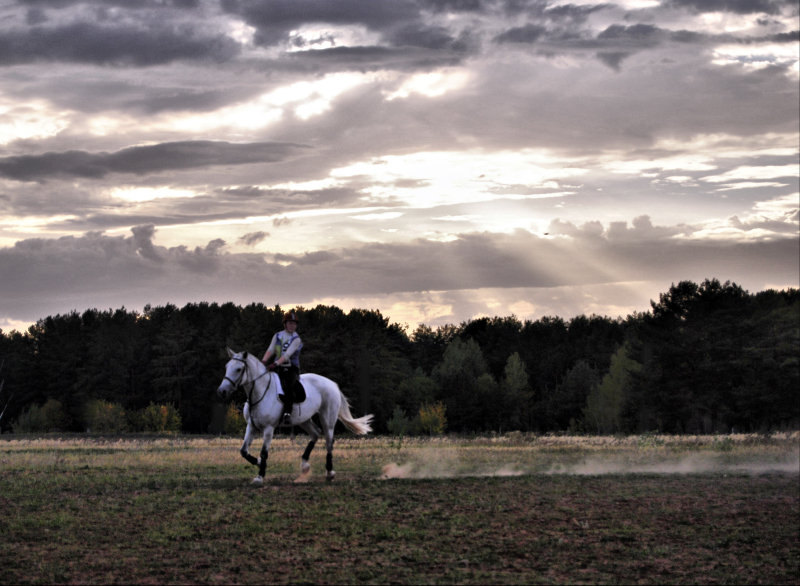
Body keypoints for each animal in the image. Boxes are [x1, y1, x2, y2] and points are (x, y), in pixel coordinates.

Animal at [216, 350, 372, 482]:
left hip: (327, 418)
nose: (222, 391)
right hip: (304, 420)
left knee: (329, 441)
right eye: (227, 366)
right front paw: (259, 463)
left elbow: (264, 452)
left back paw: (329, 473)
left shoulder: (269, 428)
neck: (259, 392)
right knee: (315, 434)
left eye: (238, 369)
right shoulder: (251, 426)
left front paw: (260, 476)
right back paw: (305, 466)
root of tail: (332, 383)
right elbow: (243, 451)